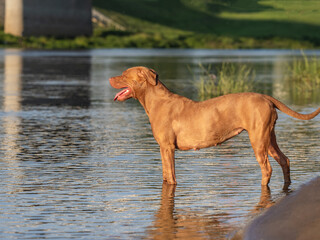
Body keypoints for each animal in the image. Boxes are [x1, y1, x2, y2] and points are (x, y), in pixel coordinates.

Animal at [109, 66, 320, 186]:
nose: (109, 78)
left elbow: (171, 176)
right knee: (285, 160)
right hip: (269, 138)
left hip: (258, 139)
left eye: (123, 75)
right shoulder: (163, 149)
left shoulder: (167, 148)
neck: (155, 100)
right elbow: (165, 176)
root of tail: (265, 97)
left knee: (266, 168)